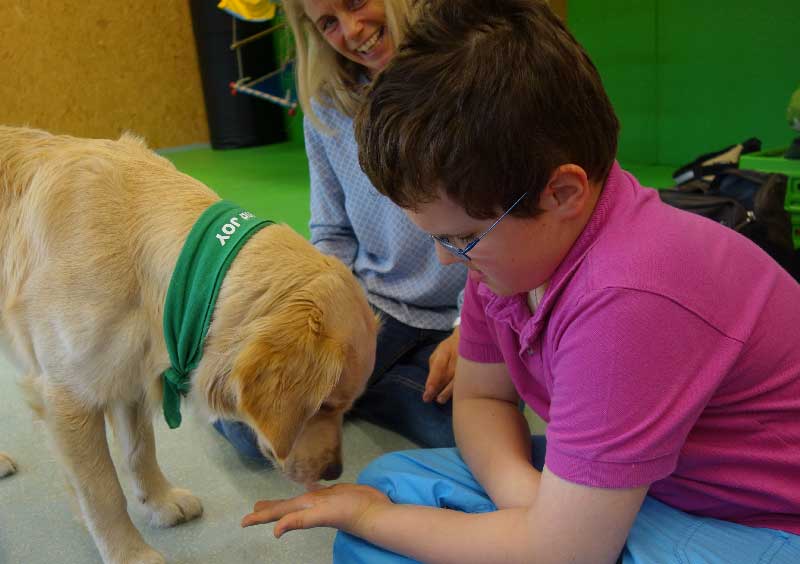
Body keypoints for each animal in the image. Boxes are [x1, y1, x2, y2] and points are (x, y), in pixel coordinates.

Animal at [0, 125, 378, 560]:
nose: (335, 472)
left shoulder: (129, 377)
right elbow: (102, 492)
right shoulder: (67, 398)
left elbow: (140, 452)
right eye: (325, 405)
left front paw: (160, 502)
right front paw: (130, 553)